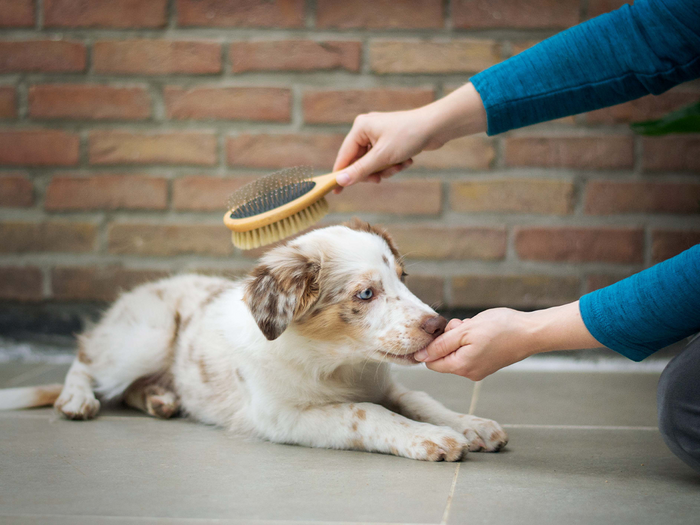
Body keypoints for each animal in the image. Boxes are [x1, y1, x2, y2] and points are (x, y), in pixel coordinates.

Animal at [0, 219, 506, 460]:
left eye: (403, 278)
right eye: (366, 293)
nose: (439, 325)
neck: (337, 365)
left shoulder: (384, 383)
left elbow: (418, 399)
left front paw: (470, 425)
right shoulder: (281, 416)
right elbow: (365, 414)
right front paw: (430, 439)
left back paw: (162, 399)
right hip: (144, 337)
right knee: (85, 359)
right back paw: (76, 399)